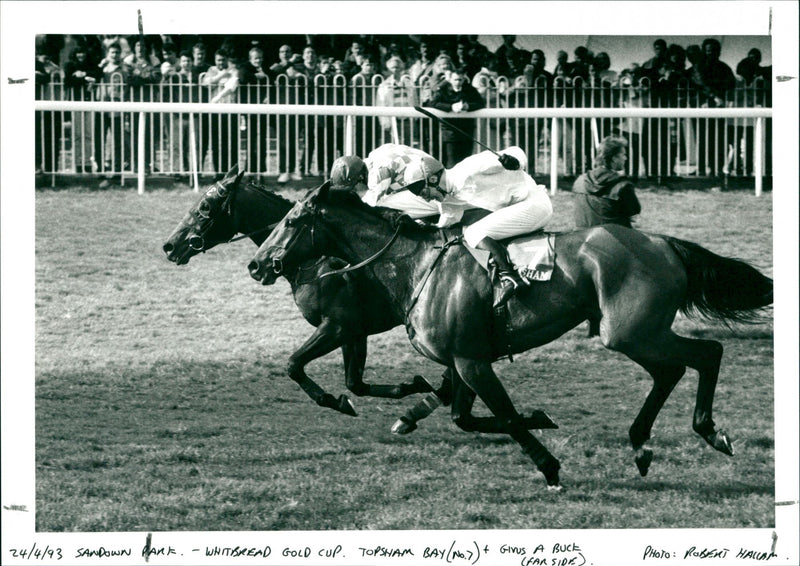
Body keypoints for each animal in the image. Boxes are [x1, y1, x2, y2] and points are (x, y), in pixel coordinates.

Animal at [162, 166, 556, 438]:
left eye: (206, 205)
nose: (169, 245)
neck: (320, 261)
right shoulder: (354, 331)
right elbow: (355, 383)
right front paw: (409, 388)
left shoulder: (339, 325)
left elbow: (295, 366)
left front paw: (344, 401)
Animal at [247, 184, 772, 490]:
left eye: (291, 221)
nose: (256, 264)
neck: (416, 266)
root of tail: (664, 243)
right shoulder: (460, 361)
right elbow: (468, 418)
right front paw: (541, 418)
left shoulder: (471, 361)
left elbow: (504, 416)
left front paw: (550, 466)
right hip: (632, 332)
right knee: (677, 367)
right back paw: (643, 444)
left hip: (629, 331)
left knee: (705, 353)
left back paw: (708, 431)